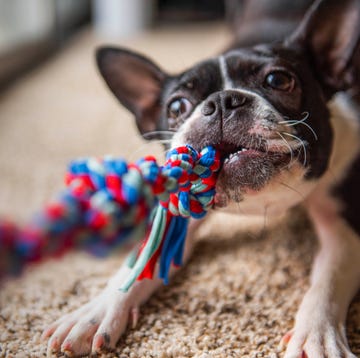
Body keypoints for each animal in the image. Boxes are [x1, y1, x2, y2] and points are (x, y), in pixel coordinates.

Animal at [43, 0, 358, 356]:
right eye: (177, 106)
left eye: (278, 79)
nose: (222, 101)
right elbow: (141, 259)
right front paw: (96, 311)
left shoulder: (345, 225)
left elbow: (329, 277)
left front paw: (317, 335)